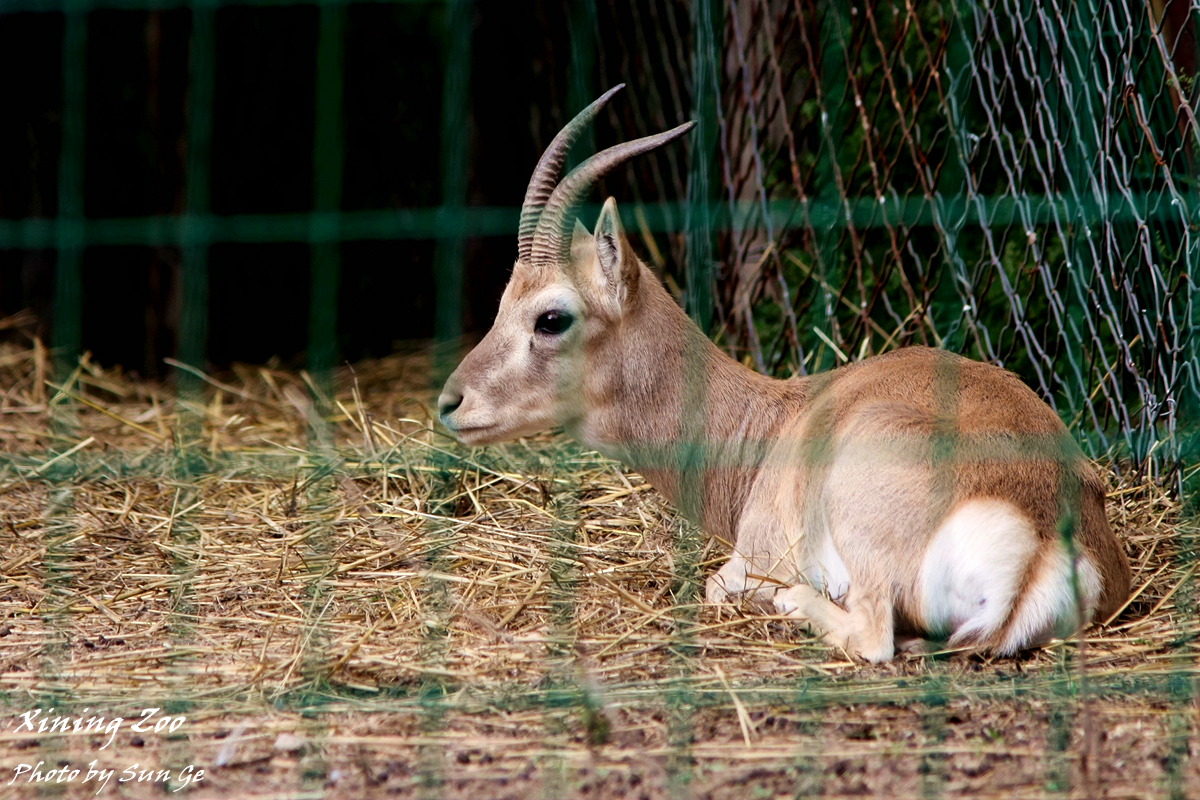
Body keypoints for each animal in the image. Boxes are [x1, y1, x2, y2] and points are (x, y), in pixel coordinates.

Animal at [438, 87, 1131, 662]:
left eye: (551, 317)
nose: (451, 403)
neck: (770, 423)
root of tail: (1044, 537)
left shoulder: (748, 560)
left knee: (875, 638)